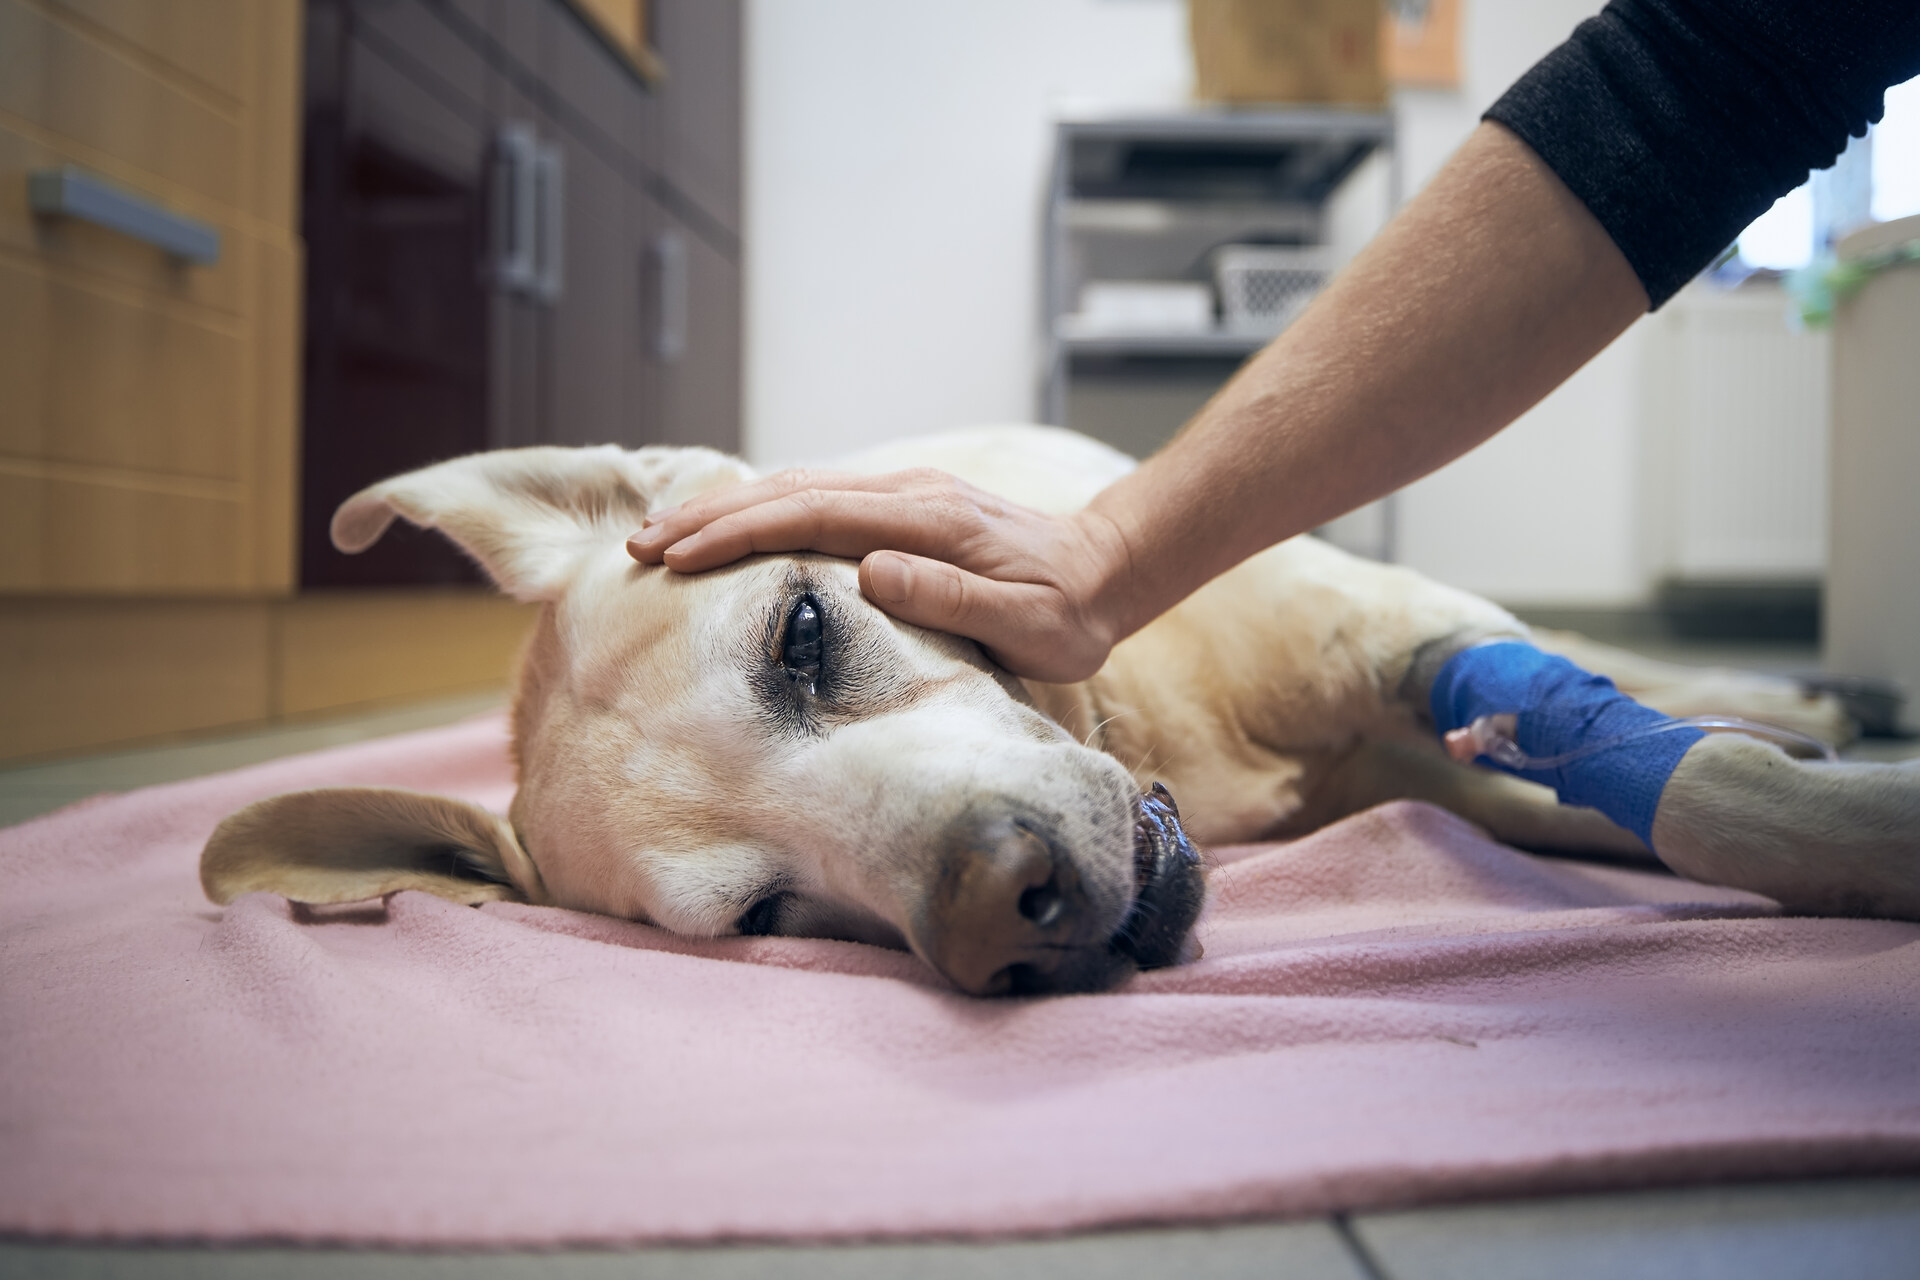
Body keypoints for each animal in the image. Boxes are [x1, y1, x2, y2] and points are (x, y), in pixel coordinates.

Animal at [206, 426, 1920, 997]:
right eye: (765, 917)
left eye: (805, 634)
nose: (999, 907)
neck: (1155, 736)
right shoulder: (1447, 764)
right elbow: (1676, 796)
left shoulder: (1397, 633)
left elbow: (1713, 793)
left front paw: (1854, 807)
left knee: (1617, 670)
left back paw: (1808, 688)